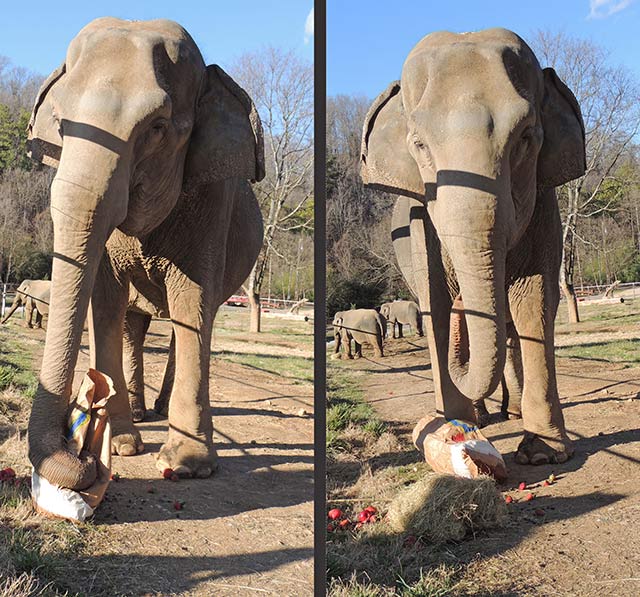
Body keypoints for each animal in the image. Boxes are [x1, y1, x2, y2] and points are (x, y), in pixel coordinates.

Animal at [26, 18, 264, 488]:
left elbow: (192, 300)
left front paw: (189, 465)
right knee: (133, 323)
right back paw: (137, 414)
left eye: (157, 128)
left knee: (193, 319)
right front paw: (120, 445)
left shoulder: (213, 202)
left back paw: (160, 411)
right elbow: (105, 300)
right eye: (60, 124)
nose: (78, 454)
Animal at [360, 29, 584, 466]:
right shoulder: (419, 224)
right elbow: (437, 306)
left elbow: (534, 302)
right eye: (419, 145)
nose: (463, 297)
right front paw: (449, 430)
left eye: (525, 138)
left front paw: (542, 452)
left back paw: (506, 414)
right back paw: (478, 418)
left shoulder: (544, 202)